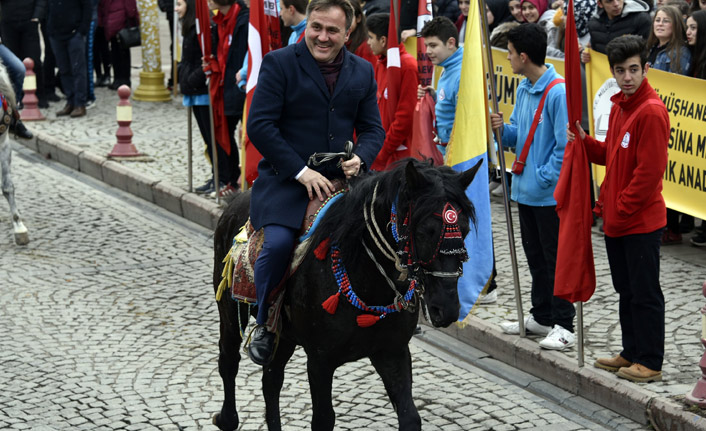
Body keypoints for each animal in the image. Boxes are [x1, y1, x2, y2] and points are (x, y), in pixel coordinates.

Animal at [212, 159, 482, 431]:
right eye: (425, 231)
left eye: (465, 229)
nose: (446, 308)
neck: (368, 281)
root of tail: (237, 199)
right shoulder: (320, 361)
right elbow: (323, 419)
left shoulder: (392, 352)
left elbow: (410, 417)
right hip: (229, 313)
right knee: (229, 361)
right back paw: (226, 418)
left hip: (284, 334)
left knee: (271, 379)